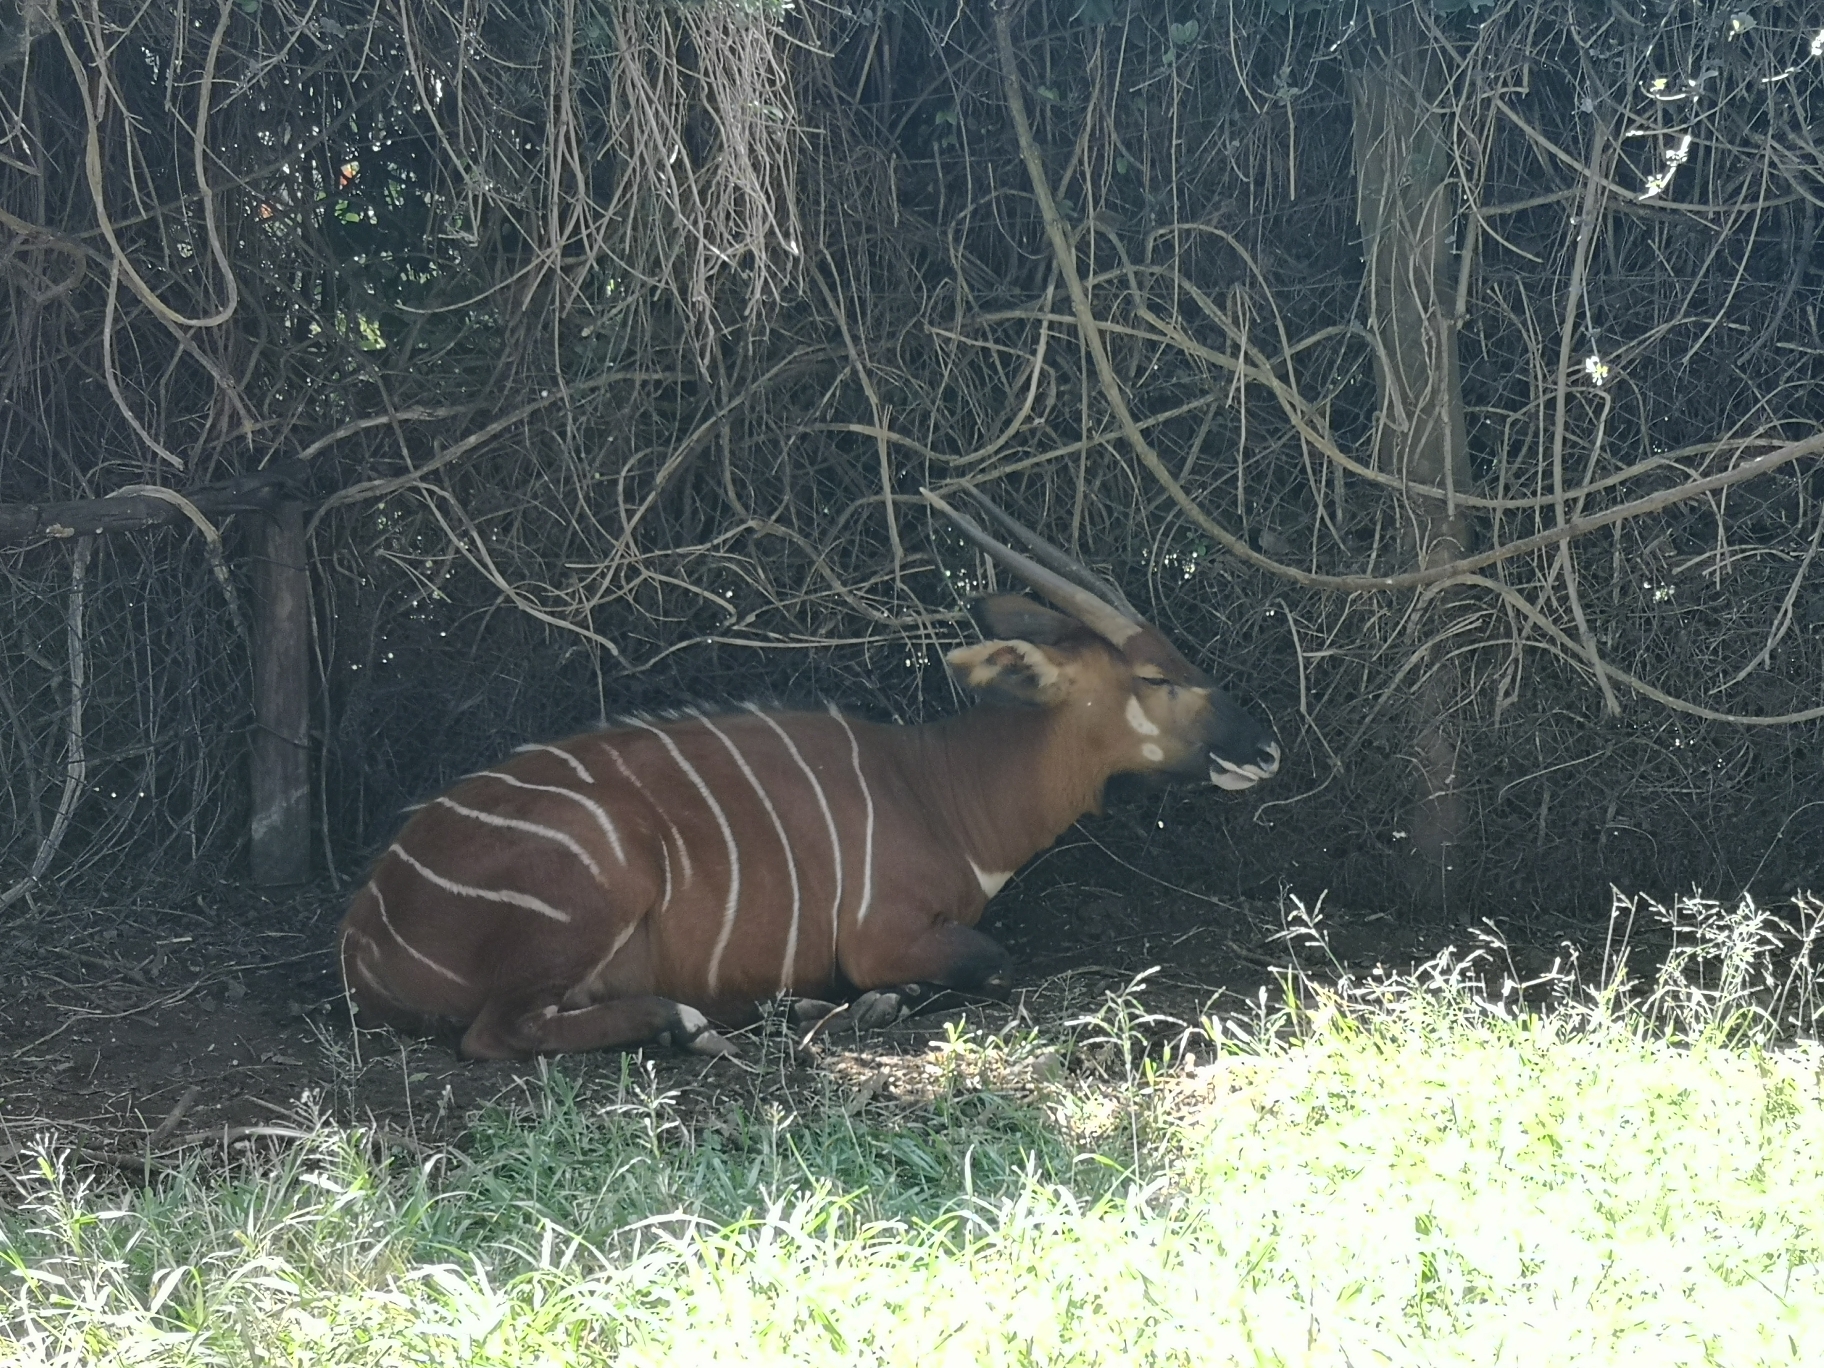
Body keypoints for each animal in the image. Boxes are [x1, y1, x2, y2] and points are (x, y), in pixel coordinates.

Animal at [342, 492, 1284, 1057]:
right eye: (1155, 678)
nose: (1264, 749)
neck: (941, 791)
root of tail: (365, 934)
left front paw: (813, 1008)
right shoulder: (883, 934)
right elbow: (990, 962)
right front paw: (851, 1007)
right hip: (594, 894)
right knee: (496, 1034)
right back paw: (688, 1022)